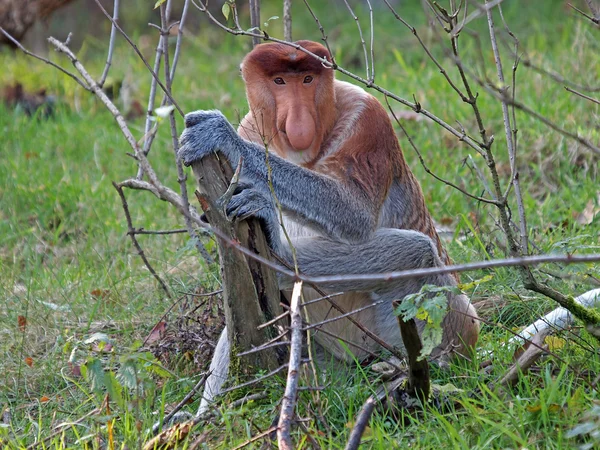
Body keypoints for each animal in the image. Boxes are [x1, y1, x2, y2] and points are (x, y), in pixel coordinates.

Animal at [178, 40, 478, 414]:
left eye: (308, 79)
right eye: (279, 81)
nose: (298, 119)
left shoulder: (368, 120)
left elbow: (353, 213)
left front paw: (220, 137)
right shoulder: (252, 123)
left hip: (424, 326)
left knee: (416, 251)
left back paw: (276, 258)